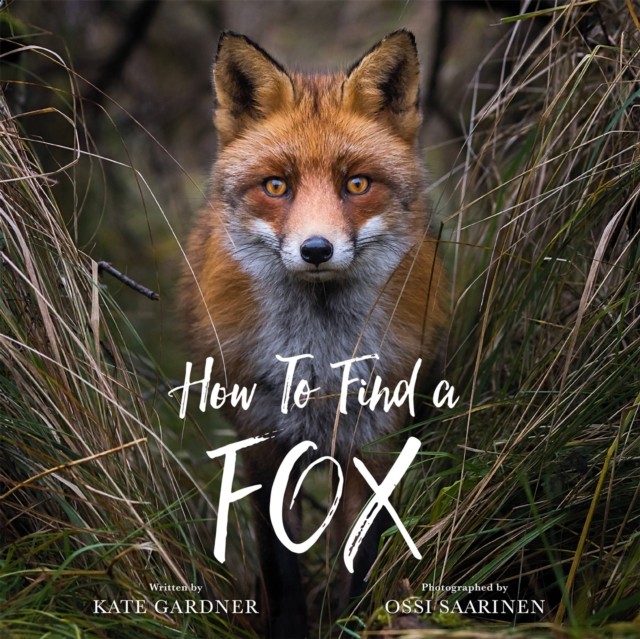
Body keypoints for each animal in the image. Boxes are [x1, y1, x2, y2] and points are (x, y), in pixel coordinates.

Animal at [181, 30, 448, 639]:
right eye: (277, 185)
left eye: (357, 184)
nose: (317, 250)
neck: (322, 362)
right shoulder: (264, 441)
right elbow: (281, 567)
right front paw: (289, 627)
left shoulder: (375, 441)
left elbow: (360, 557)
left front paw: (352, 621)